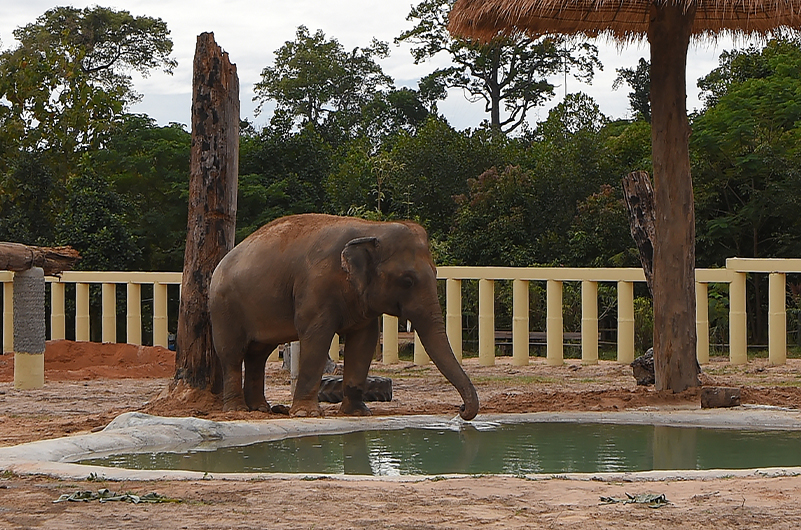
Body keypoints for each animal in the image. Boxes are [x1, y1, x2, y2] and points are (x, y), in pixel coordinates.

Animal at [208, 213, 479, 420]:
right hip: (223, 307)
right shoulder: (315, 286)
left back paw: (261, 409)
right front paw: (306, 414)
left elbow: (363, 342)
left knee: (258, 354)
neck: (371, 227)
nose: (461, 409)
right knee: (232, 354)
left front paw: (357, 413)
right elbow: (316, 338)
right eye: (407, 281)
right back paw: (237, 411)